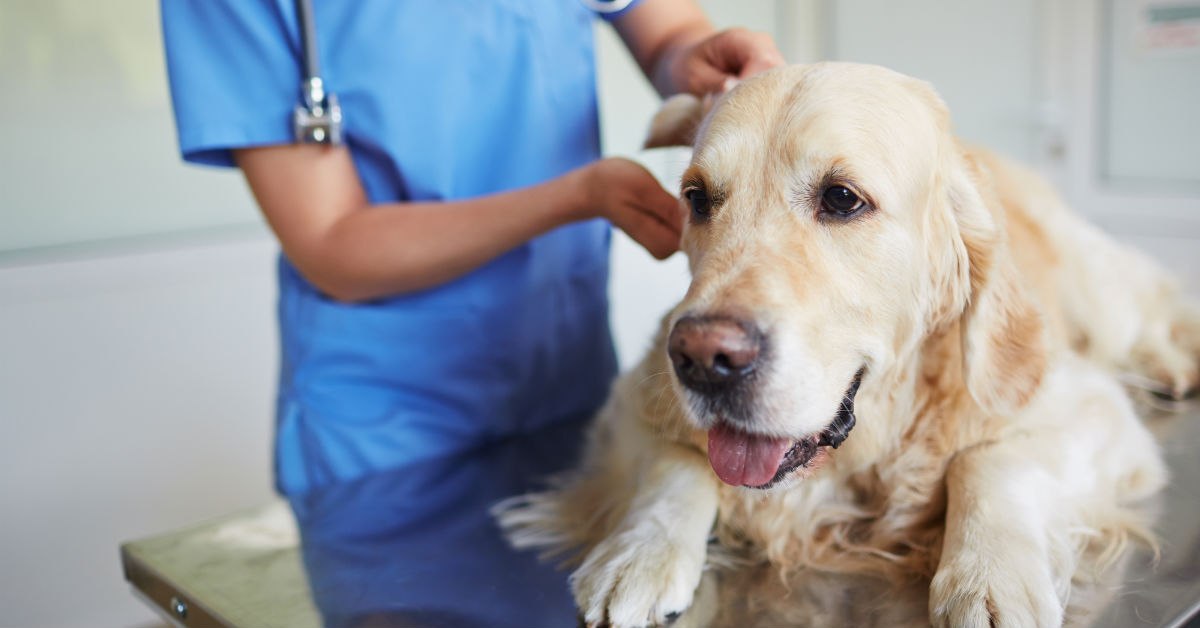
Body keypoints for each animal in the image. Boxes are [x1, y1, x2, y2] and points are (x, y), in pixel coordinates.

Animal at [492, 62, 1195, 628]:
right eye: (696, 198)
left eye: (842, 198)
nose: (702, 360)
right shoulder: (628, 403)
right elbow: (677, 464)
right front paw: (638, 553)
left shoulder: (1088, 408)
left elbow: (989, 461)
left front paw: (988, 579)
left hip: (1099, 294)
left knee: (1154, 306)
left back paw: (1173, 363)